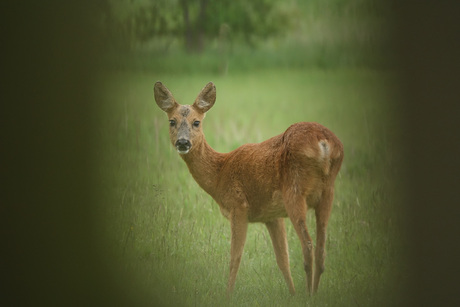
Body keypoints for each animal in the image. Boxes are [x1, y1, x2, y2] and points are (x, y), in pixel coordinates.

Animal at [153, 81, 344, 296]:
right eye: (172, 121)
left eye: (196, 122)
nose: (183, 142)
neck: (220, 174)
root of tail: (324, 143)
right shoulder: (272, 216)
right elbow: (282, 260)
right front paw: (292, 295)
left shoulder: (238, 205)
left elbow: (235, 257)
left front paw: (227, 295)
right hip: (328, 191)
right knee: (321, 249)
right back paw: (314, 294)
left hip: (294, 191)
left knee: (308, 246)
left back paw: (309, 295)